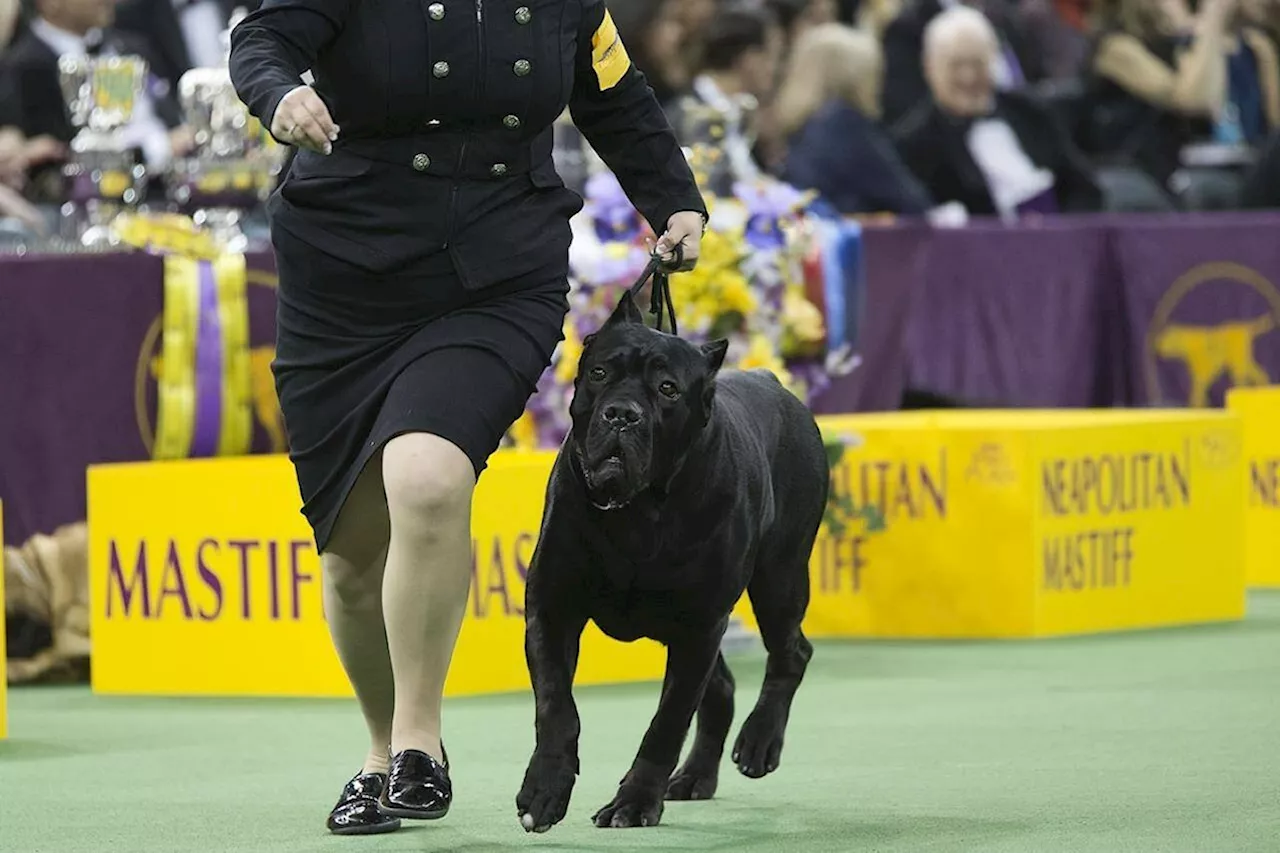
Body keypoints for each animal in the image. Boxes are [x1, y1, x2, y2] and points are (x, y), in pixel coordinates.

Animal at [517, 289, 829, 824]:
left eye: (667, 389)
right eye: (600, 373)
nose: (622, 414)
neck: (640, 509)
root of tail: (774, 382)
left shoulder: (699, 626)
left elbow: (666, 722)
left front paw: (634, 801)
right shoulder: (553, 608)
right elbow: (557, 707)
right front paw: (545, 787)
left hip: (779, 577)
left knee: (791, 652)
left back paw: (758, 742)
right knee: (721, 687)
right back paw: (696, 775)